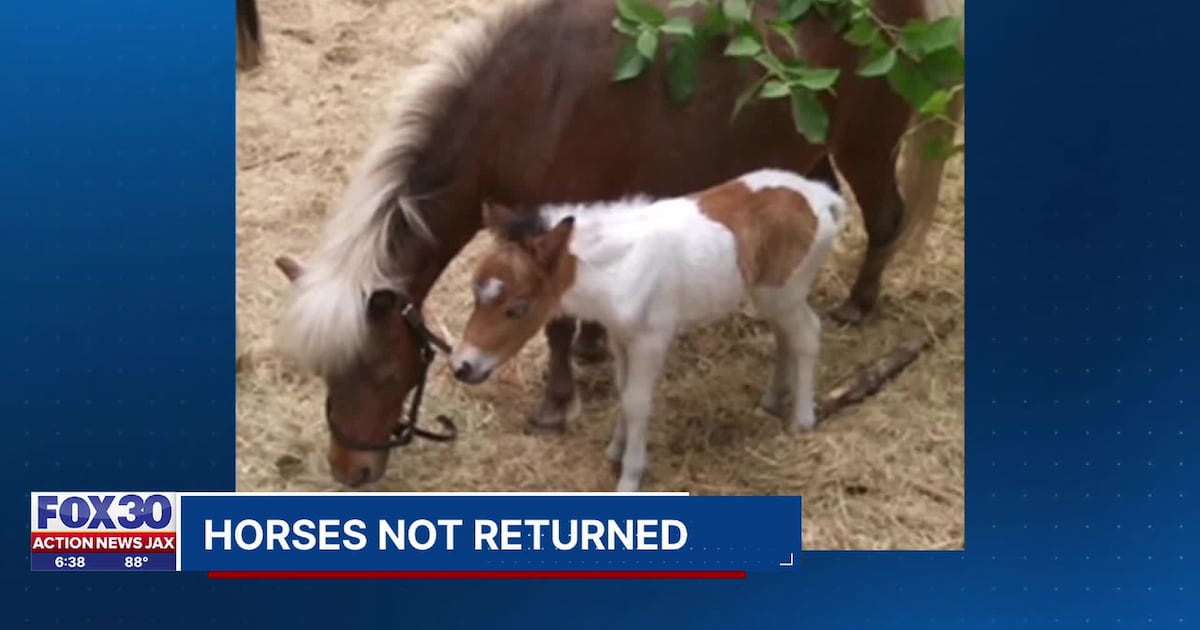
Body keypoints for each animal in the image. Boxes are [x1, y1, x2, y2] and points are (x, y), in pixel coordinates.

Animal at [452, 169, 846, 491]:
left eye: (517, 308)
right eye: (474, 292)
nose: (462, 366)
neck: (617, 268)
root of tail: (822, 198)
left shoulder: (650, 341)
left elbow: (637, 402)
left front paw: (629, 477)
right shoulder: (620, 337)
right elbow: (623, 393)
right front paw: (615, 450)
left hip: (786, 291)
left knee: (807, 335)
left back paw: (802, 420)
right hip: (770, 296)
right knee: (785, 337)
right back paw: (774, 398)